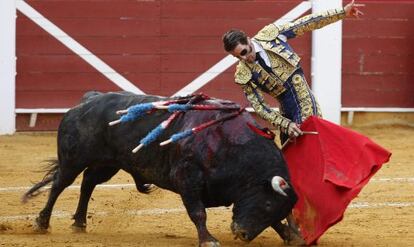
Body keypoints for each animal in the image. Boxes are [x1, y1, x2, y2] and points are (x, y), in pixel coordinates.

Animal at [23, 91, 300, 246]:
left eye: (274, 209)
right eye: (266, 204)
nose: (242, 234)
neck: (234, 146)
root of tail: (86, 101)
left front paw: (290, 235)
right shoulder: (187, 179)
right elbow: (198, 212)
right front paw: (208, 240)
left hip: (108, 164)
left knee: (88, 182)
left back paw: (79, 223)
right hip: (74, 159)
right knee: (60, 184)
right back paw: (42, 222)